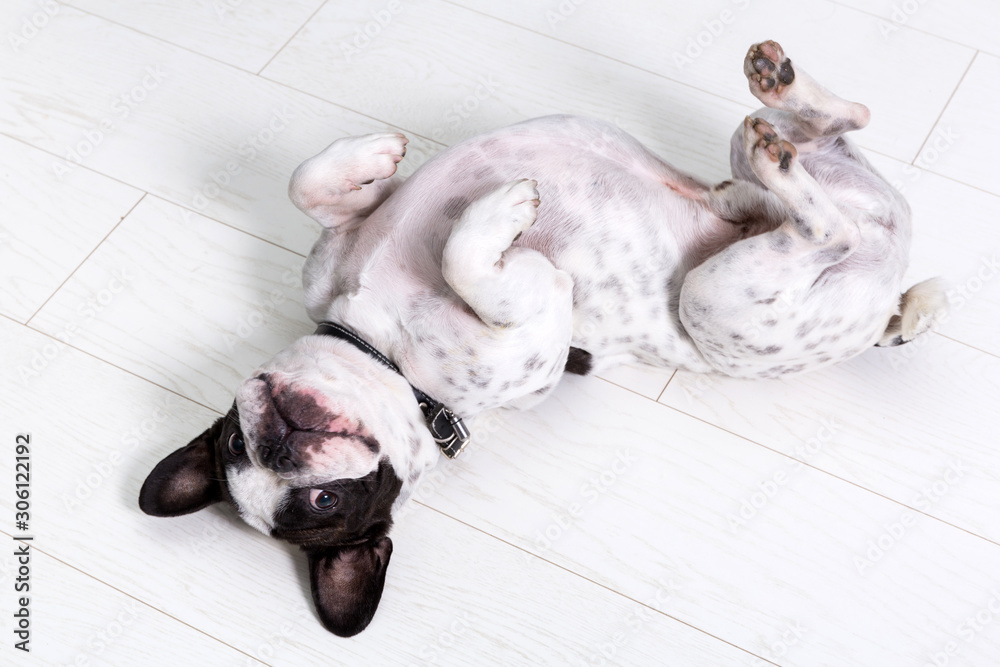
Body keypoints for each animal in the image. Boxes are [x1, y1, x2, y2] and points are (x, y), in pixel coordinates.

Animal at [139, 41, 944, 636]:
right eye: (321, 504)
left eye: (232, 440)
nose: (275, 444)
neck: (393, 360)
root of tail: (891, 285)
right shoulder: (540, 324)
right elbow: (470, 262)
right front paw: (501, 215)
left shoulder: (340, 241)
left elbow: (307, 183)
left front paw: (372, 153)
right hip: (722, 301)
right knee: (824, 223)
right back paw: (789, 163)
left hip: (775, 188)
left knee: (837, 127)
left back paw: (780, 89)